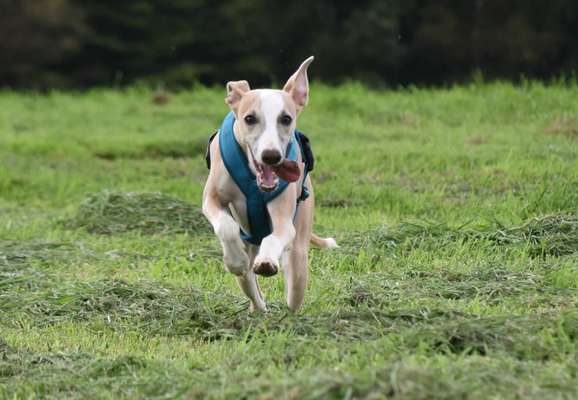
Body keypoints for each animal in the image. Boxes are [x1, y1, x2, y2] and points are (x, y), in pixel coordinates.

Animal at [202, 57, 338, 312]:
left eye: (286, 119)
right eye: (249, 118)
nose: (271, 156)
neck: (254, 182)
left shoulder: (284, 215)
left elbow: (279, 233)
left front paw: (266, 261)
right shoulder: (212, 198)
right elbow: (225, 225)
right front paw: (235, 259)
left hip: (299, 256)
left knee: (293, 291)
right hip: (248, 263)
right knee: (250, 284)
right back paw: (258, 306)